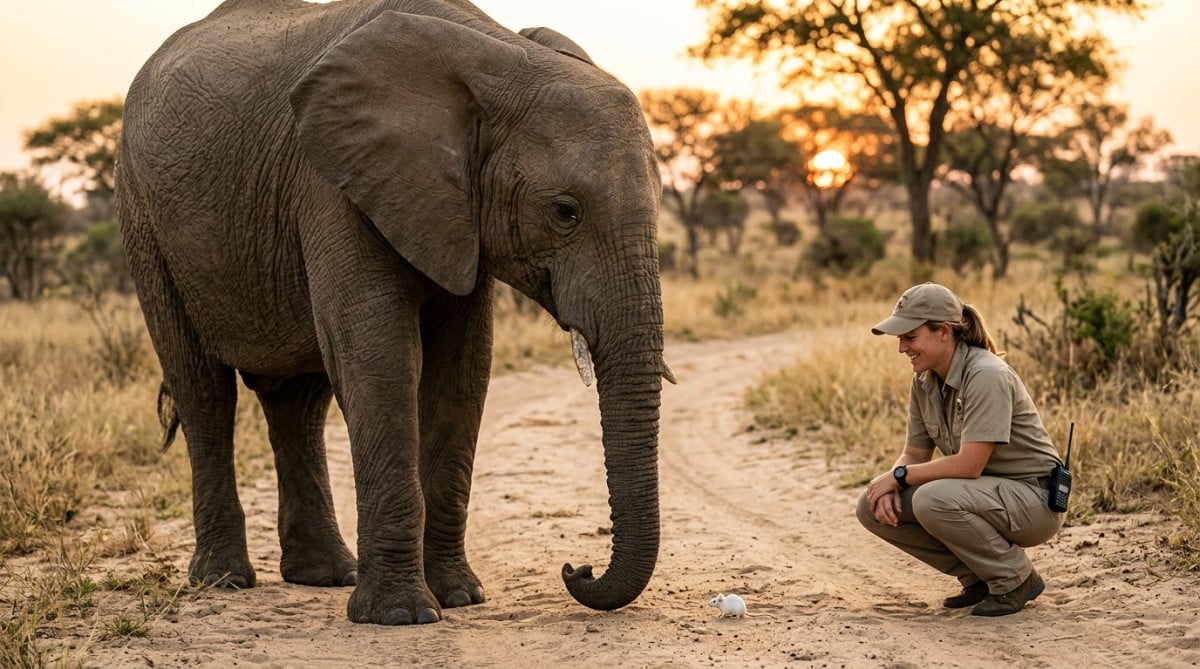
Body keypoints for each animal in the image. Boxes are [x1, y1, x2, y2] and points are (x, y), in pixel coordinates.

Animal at [115, 0, 672, 626]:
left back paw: (325, 575)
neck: (498, 55)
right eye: (565, 212)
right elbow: (378, 355)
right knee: (204, 392)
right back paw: (224, 580)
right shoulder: (333, 184)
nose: (576, 568)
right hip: (143, 223)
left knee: (298, 404)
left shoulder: (454, 210)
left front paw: (459, 597)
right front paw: (402, 616)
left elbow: (463, 371)